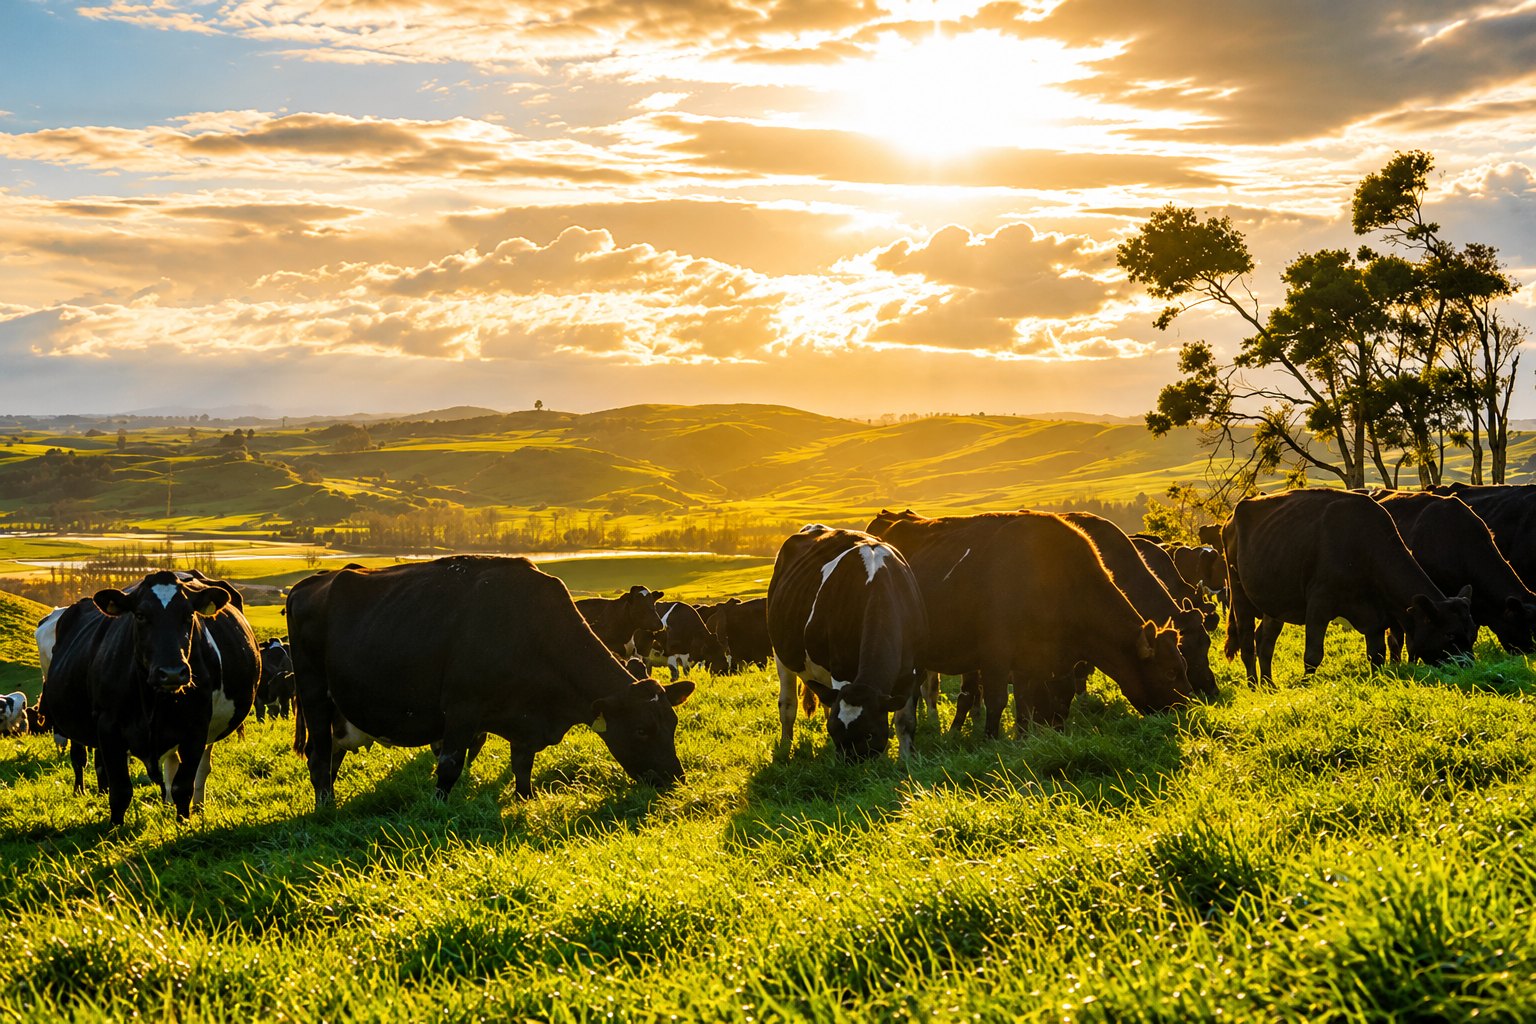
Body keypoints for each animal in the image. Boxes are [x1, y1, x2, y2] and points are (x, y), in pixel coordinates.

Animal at [39, 570, 260, 824]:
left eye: (189, 615)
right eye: (140, 615)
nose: (172, 672)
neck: (153, 703)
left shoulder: (196, 727)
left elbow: (183, 785)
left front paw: (183, 824)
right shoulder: (108, 726)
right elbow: (120, 789)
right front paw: (115, 829)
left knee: (197, 769)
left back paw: (194, 805)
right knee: (80, 757)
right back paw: (82, 791)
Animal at [287, 555, 693, 807]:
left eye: (672, 724)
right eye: (641, 730)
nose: (674, 779)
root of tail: (311, 582)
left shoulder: (525, 720)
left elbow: (522, 766)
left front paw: (524, 800)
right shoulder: (461, 709)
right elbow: (449, 766)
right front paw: (438, 811)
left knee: (331, 756)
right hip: (314, 694)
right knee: (318, 756)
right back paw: (325, 809)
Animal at [766, 525, 927, 760]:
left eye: (869, 734)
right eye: (835, 731)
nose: (850, 765)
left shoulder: (913, 669)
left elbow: (905, 721)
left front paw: (907, 758)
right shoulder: (842, 670)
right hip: (782, 655)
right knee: (788, 705)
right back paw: (785, 747)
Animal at [867, 509, 1190, 739]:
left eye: (1182, 666)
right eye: (1170, 672)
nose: (1188, 708)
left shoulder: (1030, 661)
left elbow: (1026, 703)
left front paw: (1023, 738)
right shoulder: (995, 654)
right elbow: (998, 700)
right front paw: (991, 739)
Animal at [1223, 489, 1476, 686]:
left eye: (1472, 633)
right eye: (1449, 634)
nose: (1470, 669)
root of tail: (1232, 516)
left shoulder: (1375, 618)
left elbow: (1377, 655)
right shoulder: (1319, 603)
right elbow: (1313, 654)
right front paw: (1305, 685)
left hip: (1274, 602)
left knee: (1265, 642)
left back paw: (1269, 684)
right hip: (1238, 591)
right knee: (1247, 642)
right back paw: (1253, 684)